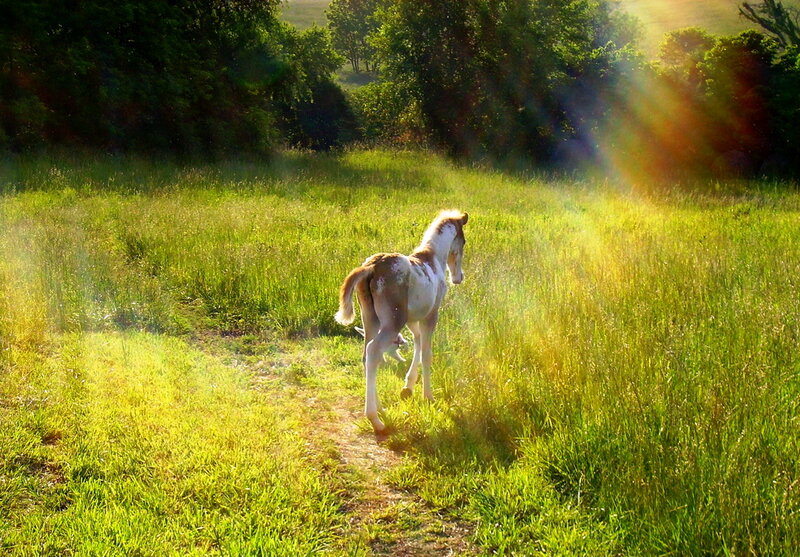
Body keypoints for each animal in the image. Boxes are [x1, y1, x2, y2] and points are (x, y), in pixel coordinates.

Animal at [334, 210, 469, 433]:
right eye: (463, 241)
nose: (459, 277)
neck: (433, 260)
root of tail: (371, 267)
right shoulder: (431, 315)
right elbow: (427, 353)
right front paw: (428, 396)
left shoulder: (413, 319)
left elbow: (416, 342)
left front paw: (408, 387)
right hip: (393, 321)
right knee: (374, 351)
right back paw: (375, 419)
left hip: (370, 320)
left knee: (368, 355)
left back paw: (380, 408)